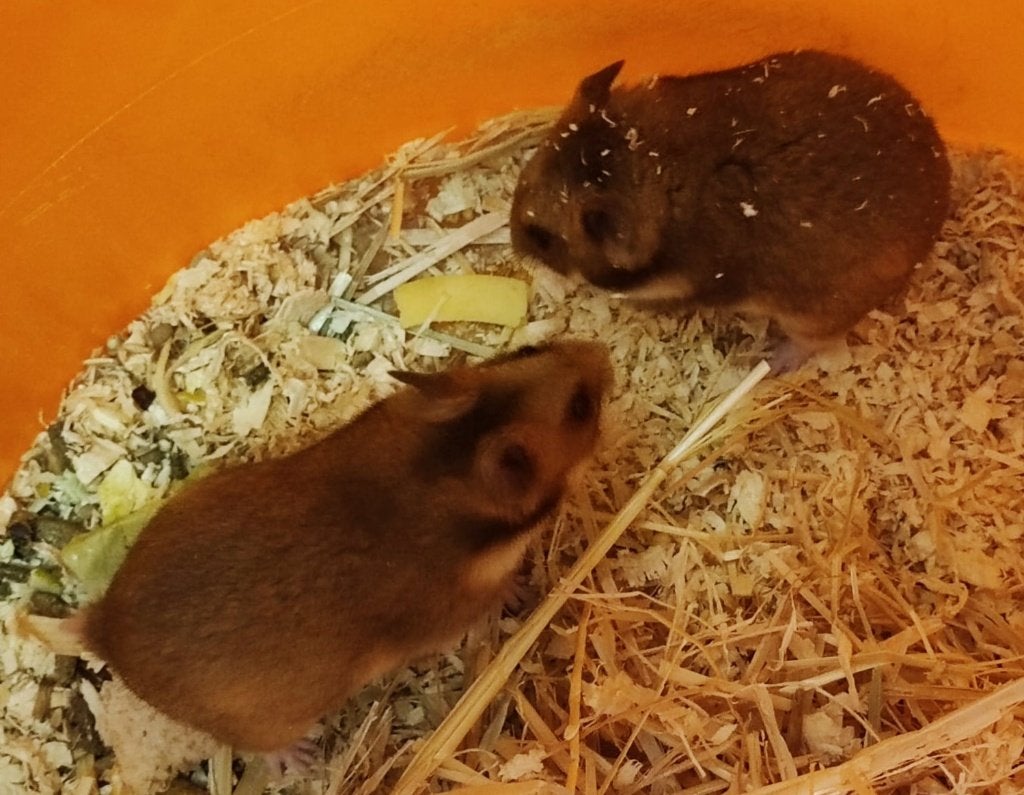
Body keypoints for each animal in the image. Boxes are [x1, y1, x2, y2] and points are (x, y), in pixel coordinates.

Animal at [79, 339, 612, 757]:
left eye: (528, 349)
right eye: (581, 407)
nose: (603, 352)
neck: (440, 474)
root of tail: (104, 632)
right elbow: (499, 592)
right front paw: (522, 591)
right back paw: (298, 758)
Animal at [511, 51, 952, 361]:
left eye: (542, 237)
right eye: (522, 179)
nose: (514, 247)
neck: (655, 165)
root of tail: (943, 187)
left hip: (814, 315)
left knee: (811, 345)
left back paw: (765, 361)